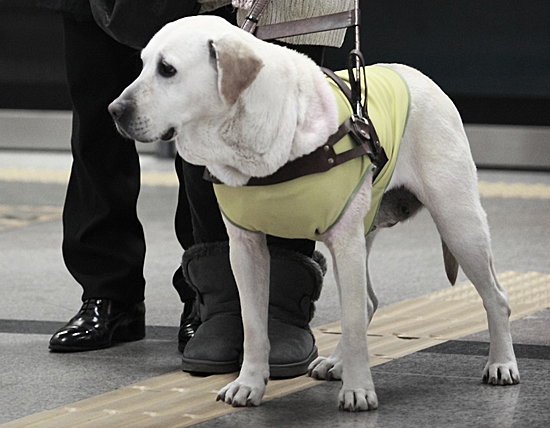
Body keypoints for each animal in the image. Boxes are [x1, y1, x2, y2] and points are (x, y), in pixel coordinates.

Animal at [110, 15, 524, 412]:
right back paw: (337, 362)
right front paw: (249, 384)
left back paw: (501, 363)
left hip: (458, 224)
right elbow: (253, 326)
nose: (115, 110)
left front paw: (359, 390)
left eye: (167, 69)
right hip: (366, 232)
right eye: (142, 64)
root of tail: (421, 78)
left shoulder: (344, 241)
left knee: (495, 297)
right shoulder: (246, 249)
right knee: (367, 301)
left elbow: (353, 325)